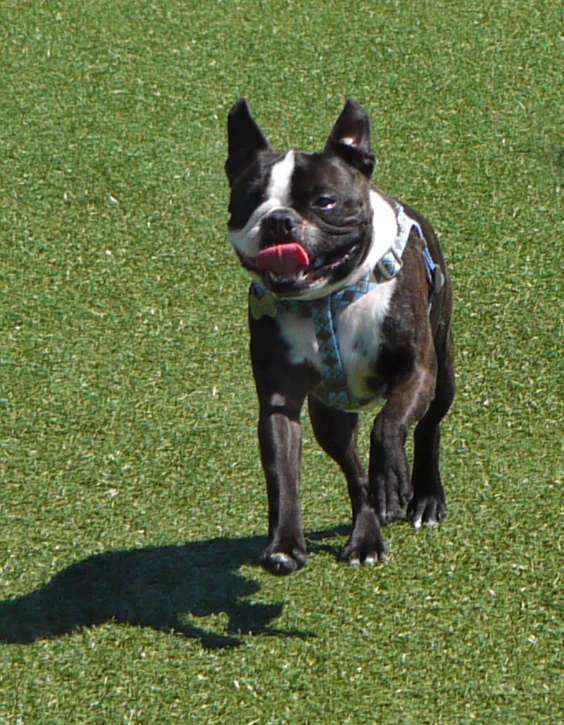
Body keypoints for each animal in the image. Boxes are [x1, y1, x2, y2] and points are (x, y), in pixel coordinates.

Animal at [224, 96, 454, 576]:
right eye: (249, 200)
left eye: (325, 202)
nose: (278, 222)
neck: (327, 299)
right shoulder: (280, 401)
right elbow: (282, 474)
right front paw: (284, 543)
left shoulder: (416, 370)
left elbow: (389, 424)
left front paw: (394, 477)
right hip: (329, 415)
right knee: (354, 473)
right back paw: (367, 535)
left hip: (443, 371)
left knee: (427, 426)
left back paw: (424, 496)